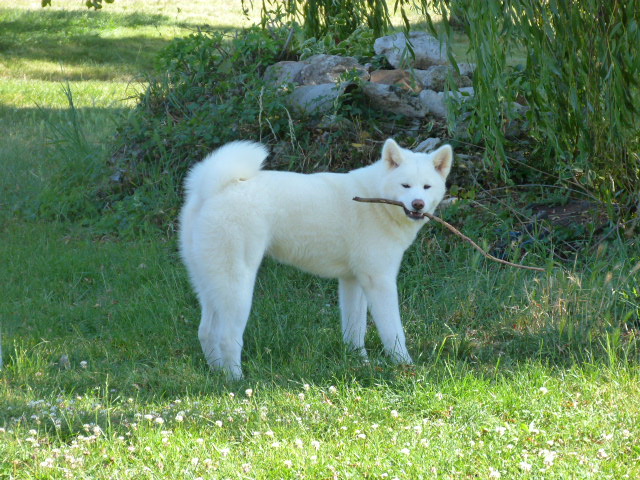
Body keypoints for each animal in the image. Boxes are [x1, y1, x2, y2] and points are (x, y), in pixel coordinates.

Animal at [178, 139, 452, 378]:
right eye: (405, 186)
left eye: (426, 187)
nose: (418, 204)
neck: (376, 200)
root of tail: (212, 189)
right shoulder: (379, 281)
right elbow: (393, 332)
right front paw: (406, 367)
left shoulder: (353, 281)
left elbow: (355, 330)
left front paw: (359, 362)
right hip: (238, 287)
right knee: (226, 338)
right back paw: (237, 381)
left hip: (211, 283)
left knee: (206, 332)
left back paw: (217, 374)